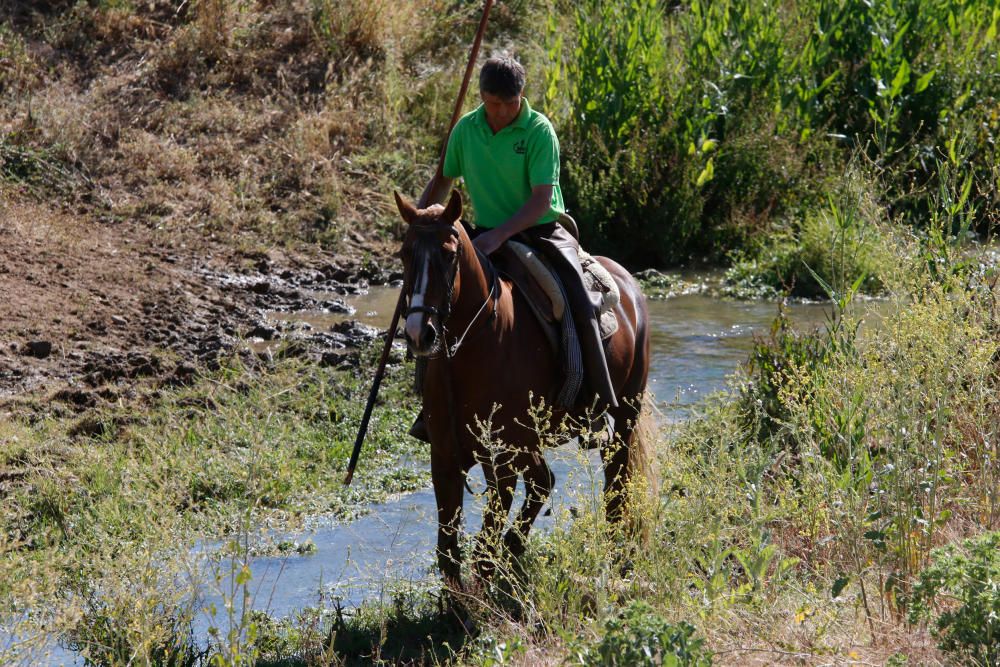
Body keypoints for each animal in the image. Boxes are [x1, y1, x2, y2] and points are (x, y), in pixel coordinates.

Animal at [390, 189, 656, 584]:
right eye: (405, 253)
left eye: (449, 254)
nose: (419, 333)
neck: (477, 346)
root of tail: (628, 282)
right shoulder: (447, 458)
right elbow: (448, 551)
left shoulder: (508, 455)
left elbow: (485, 546)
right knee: (548, 481)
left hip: (624, 410)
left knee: (614, 475)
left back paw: (612, 549)